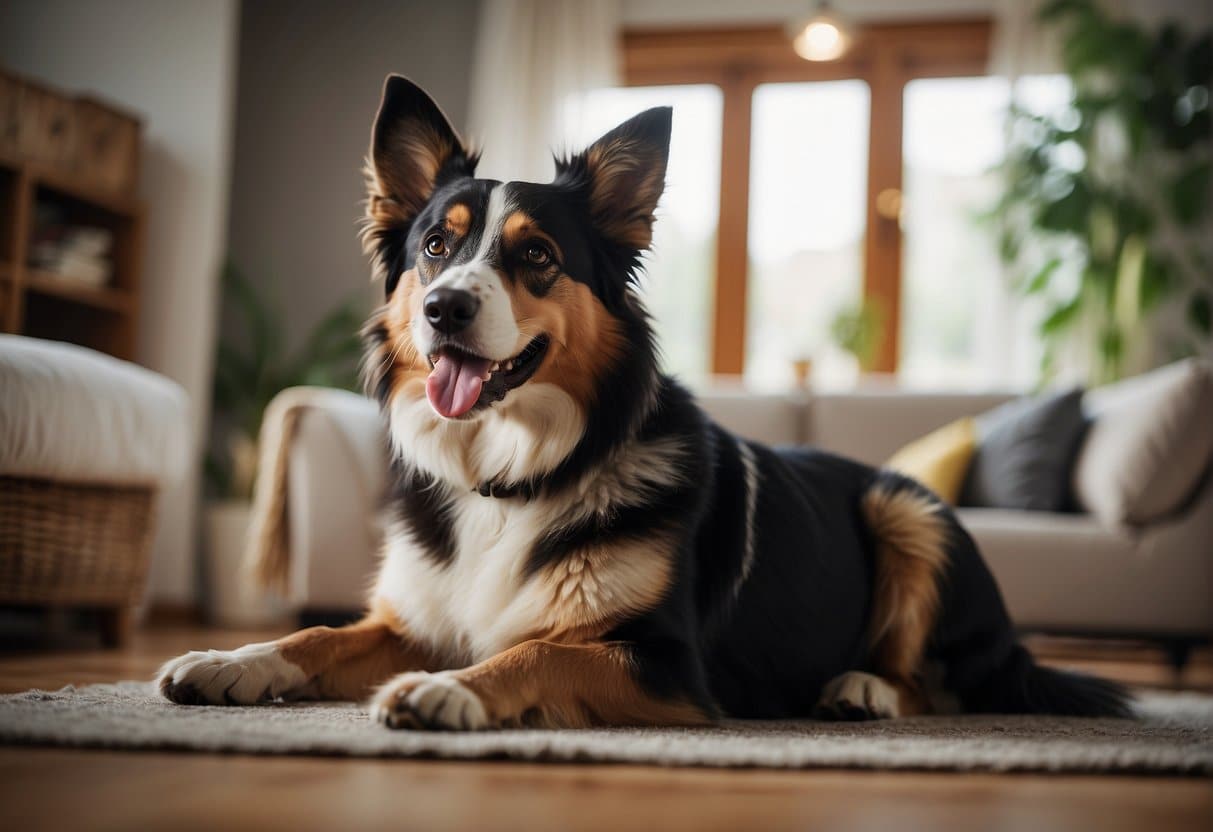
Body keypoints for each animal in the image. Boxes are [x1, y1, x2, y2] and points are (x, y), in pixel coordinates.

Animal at [156, 76, 1130, 727]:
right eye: (436, 245)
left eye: (537, 256)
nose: (444, 310)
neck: (515, 473)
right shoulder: (417, 618)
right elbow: (317, 637)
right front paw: (230, 661)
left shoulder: (667, 663)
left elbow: (534, 649)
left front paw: (449, 690)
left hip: (904, 509)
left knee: (939, 682)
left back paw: (862, 688)